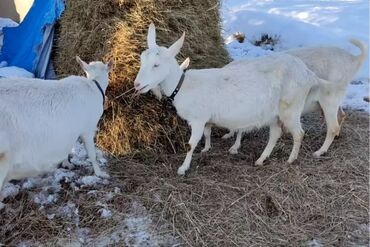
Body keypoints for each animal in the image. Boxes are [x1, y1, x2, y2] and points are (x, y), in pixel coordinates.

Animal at [0, 56, 111, 206]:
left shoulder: (70, 129)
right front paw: (100, 173)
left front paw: (66, 163)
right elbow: (92, 154)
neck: (94, 84)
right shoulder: (87, 128)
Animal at [134, 22, 324, 174]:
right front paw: (206, 148)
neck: (182, 85)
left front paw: (183, 168)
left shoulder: (198, 118)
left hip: (291, 108)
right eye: (142, 60)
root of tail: (309, 74)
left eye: (156, 65)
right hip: (274, 114)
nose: (137, 84)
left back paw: (291, 159)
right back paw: (261, 159)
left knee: (299, 133)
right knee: (275, 134)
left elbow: (191, 144)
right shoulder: (206, 119)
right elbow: (207, 133)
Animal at [220, 40, 368, 156]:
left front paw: (234, 146)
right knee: (341, 114)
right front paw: (229, 135)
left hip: (329, 98)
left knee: (333, 125)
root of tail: (352, 59)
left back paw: (320, 151)